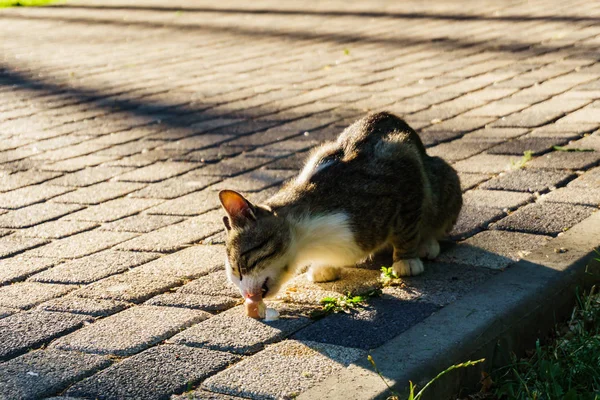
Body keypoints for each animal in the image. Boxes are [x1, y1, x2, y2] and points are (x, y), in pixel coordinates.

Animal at [218, 111, 462, 300]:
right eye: (234, 275)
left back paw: (427, 243)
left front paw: (406, 260)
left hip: (444, 177)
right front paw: (324, 266)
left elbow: (407, 227)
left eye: (240, 267)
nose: (246, 295)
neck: (311, 240)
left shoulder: (403, 164)